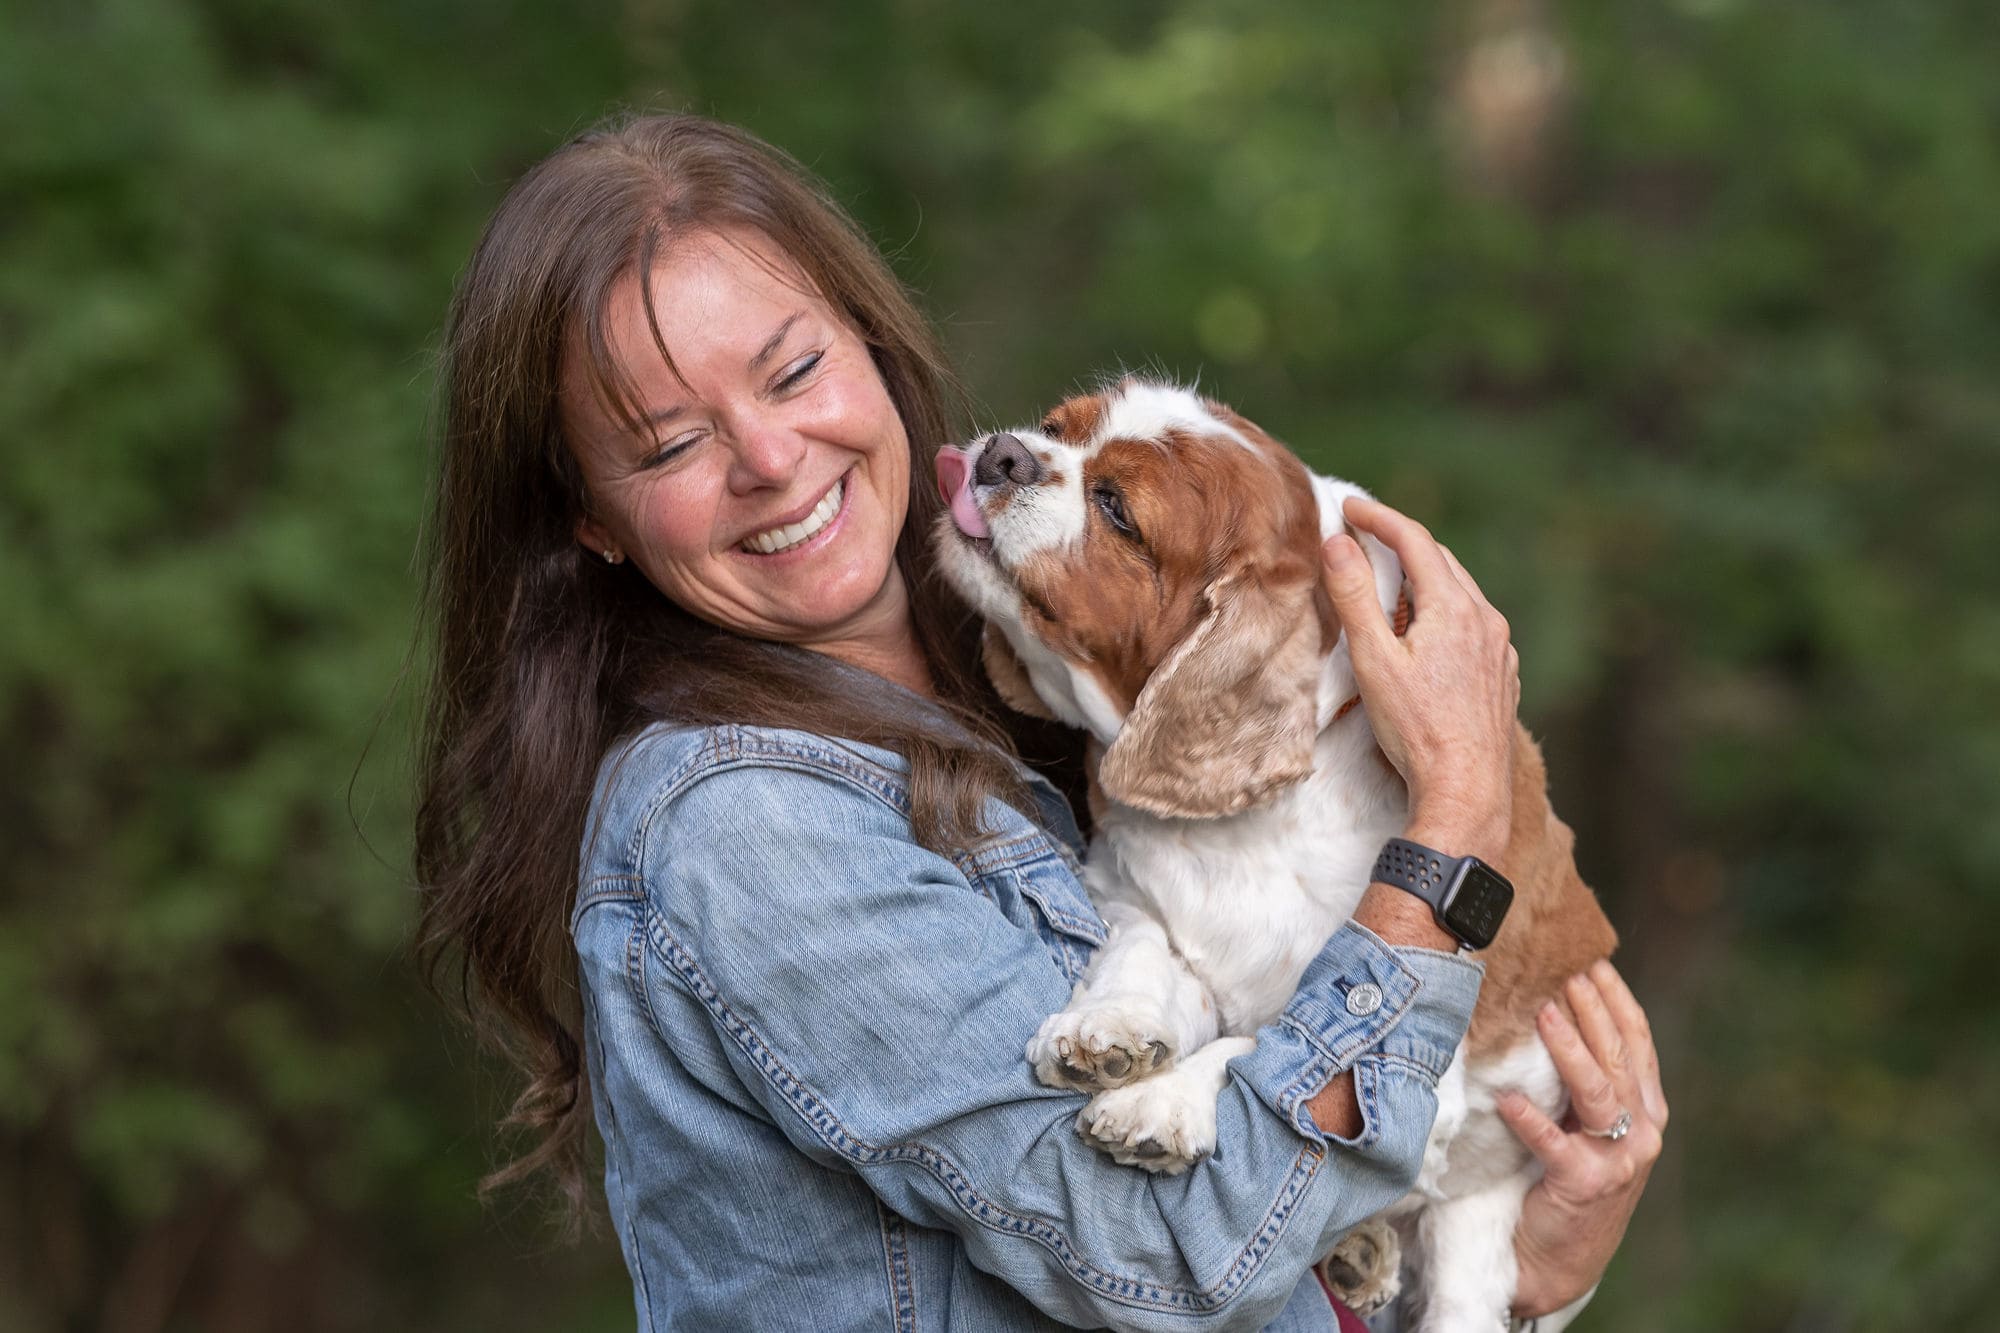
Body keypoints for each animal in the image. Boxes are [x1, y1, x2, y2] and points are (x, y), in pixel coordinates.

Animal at [928, 376, 1616, 1328]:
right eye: (1056, 426)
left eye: (1117, 509)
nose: (1003, 454)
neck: (1243, 829)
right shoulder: (1127, 889)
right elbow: (1144, 948)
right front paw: (1109, 1029)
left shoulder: (1417, 1050)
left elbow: (1259, 1045)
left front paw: (1159, 1102)